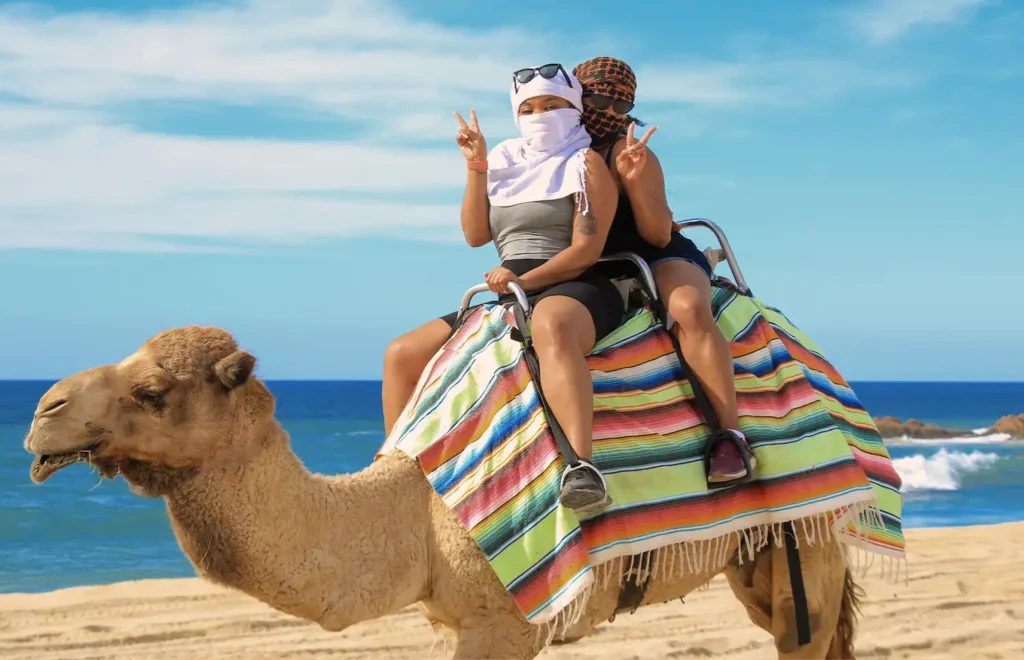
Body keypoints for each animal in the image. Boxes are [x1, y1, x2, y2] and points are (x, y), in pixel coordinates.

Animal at [24, 325, 864, 659]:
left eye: (152, 391)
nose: (42, 413)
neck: (414, 515)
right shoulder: (462, 617)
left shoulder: (506, 619)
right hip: (757, 553)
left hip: (814, 534)